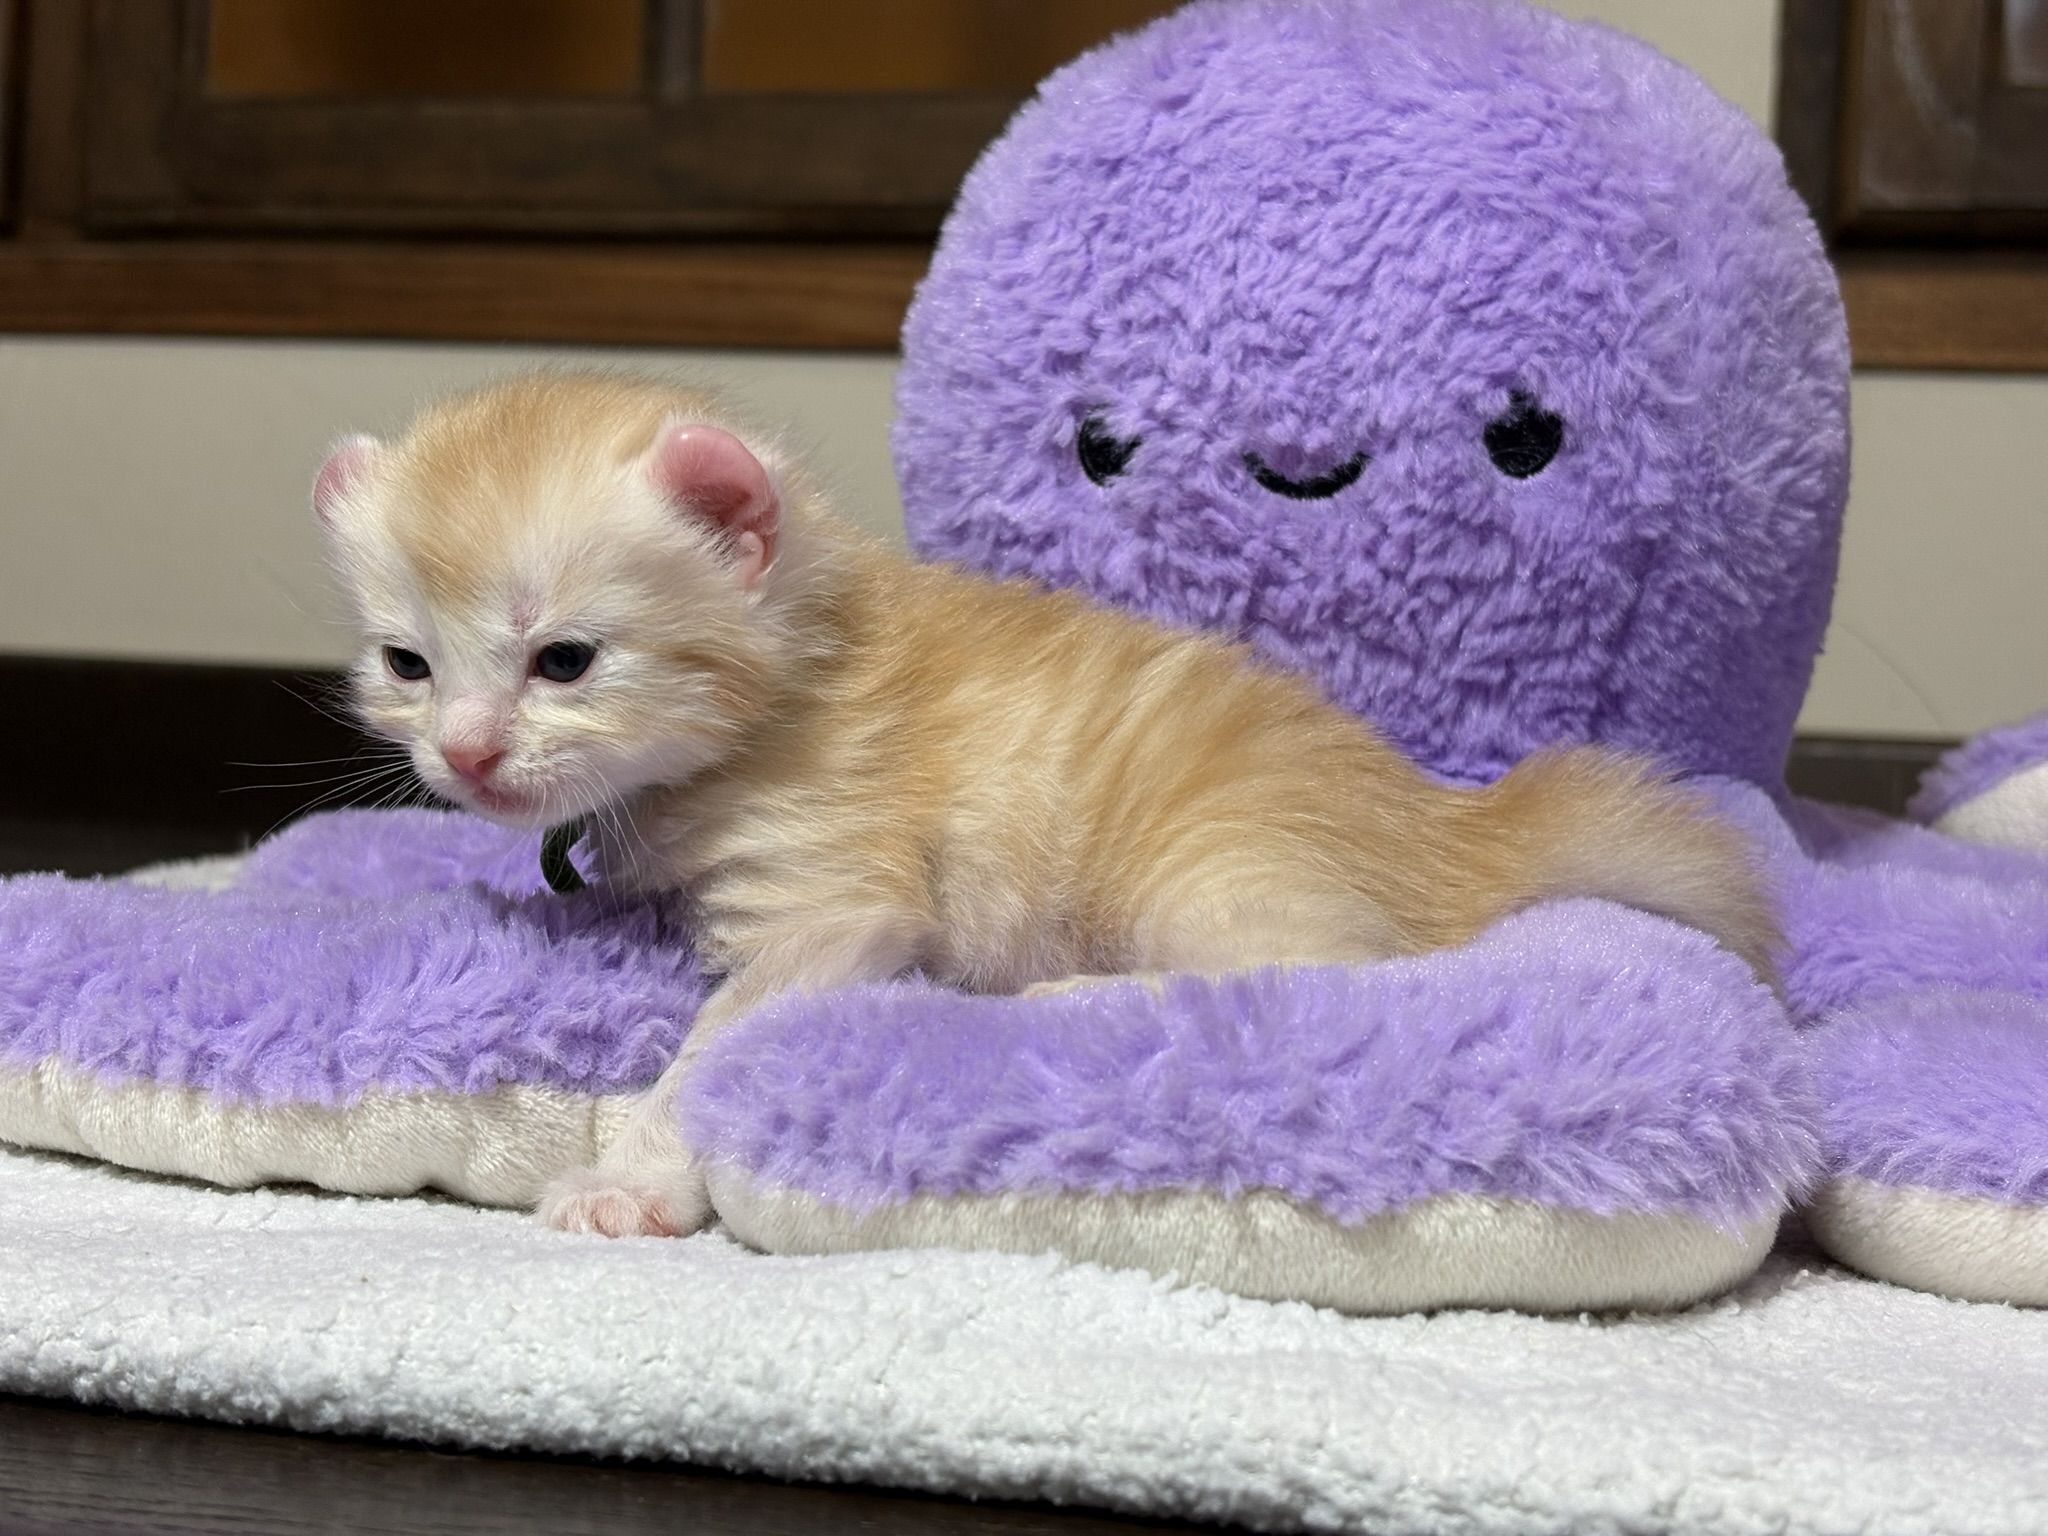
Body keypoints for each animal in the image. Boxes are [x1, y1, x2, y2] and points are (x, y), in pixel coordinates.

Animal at [313, 369, 1780, 1239]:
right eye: (407, 665)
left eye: (566, 660)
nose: (468, 757)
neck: (790, 681)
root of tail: (1456, 825)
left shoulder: (835, 900)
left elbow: (720, 1044)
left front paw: (635, 1181)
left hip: (1210, 875)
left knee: (1318, 990)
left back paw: (1061, 1001)